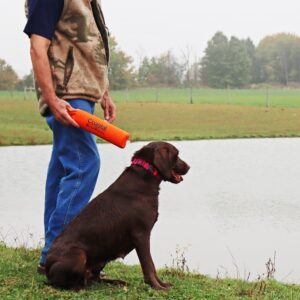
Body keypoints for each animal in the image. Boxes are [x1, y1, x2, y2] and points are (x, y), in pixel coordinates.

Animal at [44, 142, 190, 290]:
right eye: (176, 155)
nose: (189, 167)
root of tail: (46, 268)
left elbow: (151, 265)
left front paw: (162, 284)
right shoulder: (141, 234)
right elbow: (149, 265)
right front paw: (157, 287)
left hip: (101, 259)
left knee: (95, 279)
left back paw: (116, 282)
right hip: (79, 255)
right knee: (67, 282)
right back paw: (79, 287)